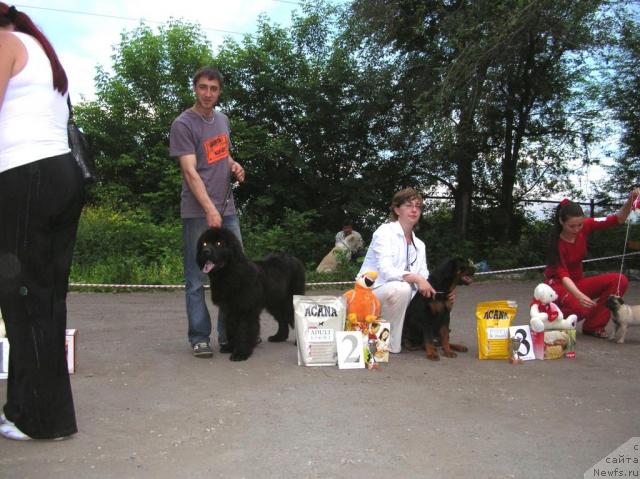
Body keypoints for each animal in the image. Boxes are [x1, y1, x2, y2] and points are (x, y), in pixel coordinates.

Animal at [195, 228, 304, 360]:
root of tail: (295, 259)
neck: (231, 272)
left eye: (219, 243)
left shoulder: (246, 309)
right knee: (282, 320)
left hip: (289, 300)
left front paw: (240, 353)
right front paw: (230, 347)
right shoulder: (230, 310)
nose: (205, 251)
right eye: (204, 243)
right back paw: (278, 337)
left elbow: (244, 330)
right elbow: (231, 330)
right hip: (274, 302)